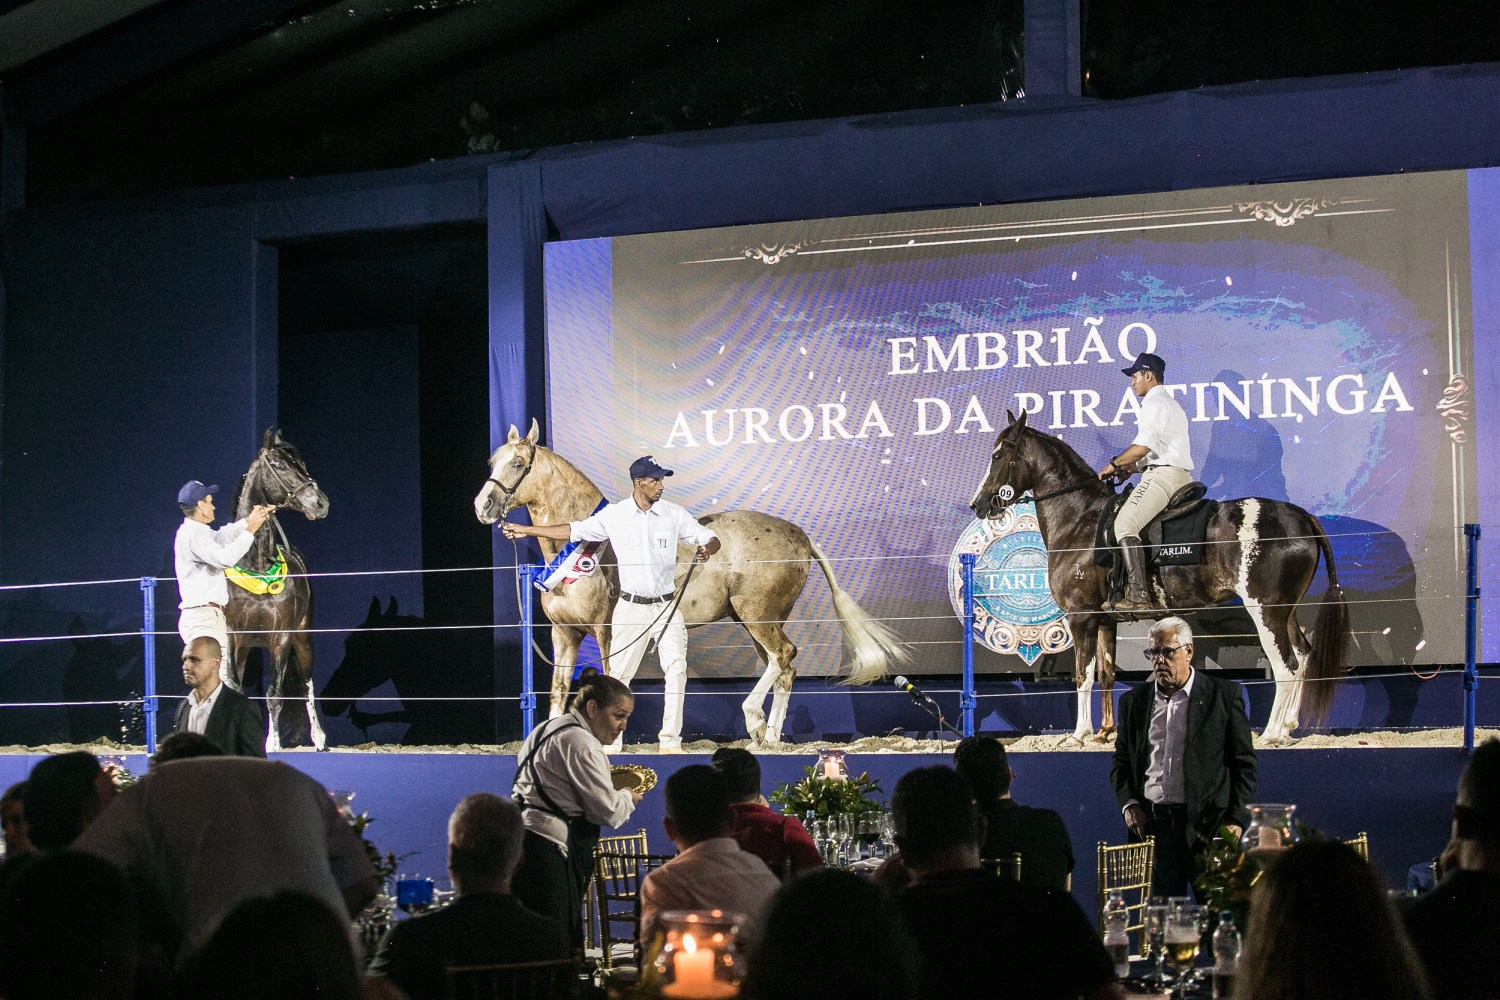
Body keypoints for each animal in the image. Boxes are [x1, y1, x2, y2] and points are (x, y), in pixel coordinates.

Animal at [223, 431, 330, 749]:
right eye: (281, 466)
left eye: (302, 464)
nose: (320, 503)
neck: (256, 567)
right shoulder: (233, 637)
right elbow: (234, 687)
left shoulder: (280, 639)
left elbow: (274, 695)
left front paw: (272, 744)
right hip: (246, 646)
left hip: (302, 639)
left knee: (307, 683)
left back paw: (319, 738)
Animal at [474, 419, 906, 743]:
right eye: (493, 461)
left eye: (518, 463)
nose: (483, 506)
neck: (585, 549)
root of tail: (801, 536)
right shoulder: (565, 634)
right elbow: (559, 691)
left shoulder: (605, 631)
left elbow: (613, 680)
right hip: (757, 620)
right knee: (784, 668)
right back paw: (769, 736)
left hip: (759, 616)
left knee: (784, 655)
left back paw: (754, 719)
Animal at [966, 410, 1356, 746]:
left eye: (998, 455)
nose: (978, 505)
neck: (1080, 521)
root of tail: (1302, 517)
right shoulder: (1105, 619)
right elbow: (1106, 673)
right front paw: (1104, 732)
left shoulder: (1081, 617)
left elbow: (1082, 675)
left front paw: (1078, 734)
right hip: (1285, 611)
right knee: (1304, 658)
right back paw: (1289, 727)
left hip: (1266, 611)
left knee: (1286, 666)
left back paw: (1272, 734)